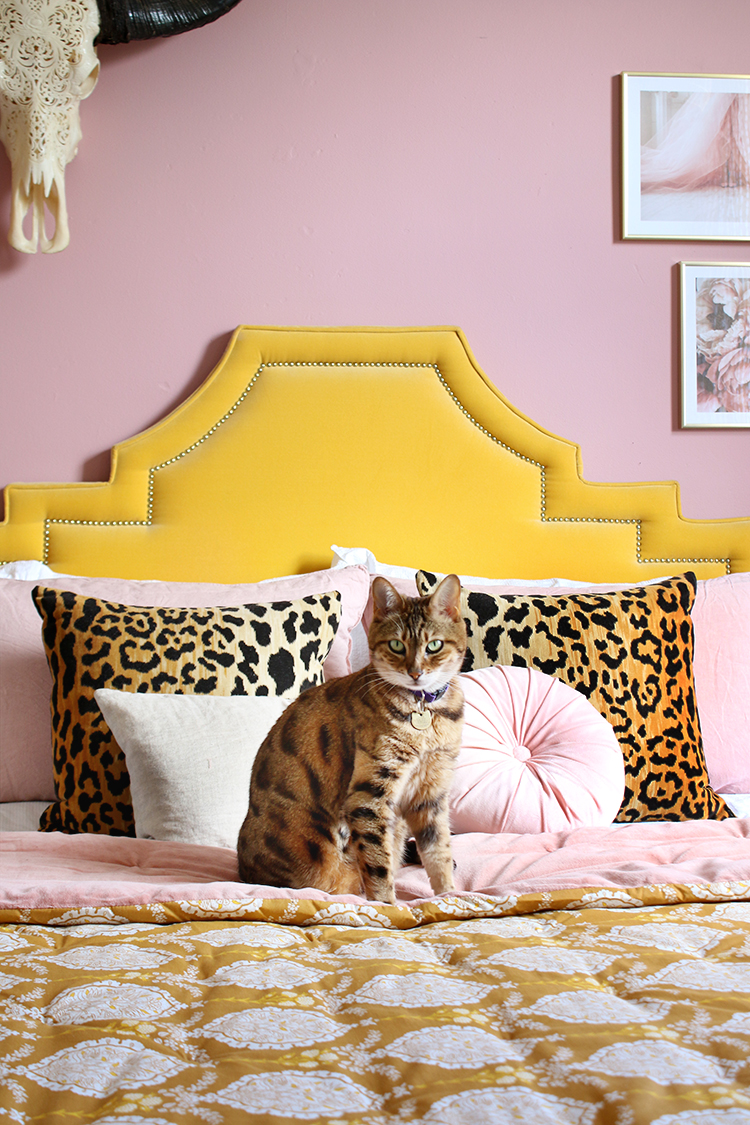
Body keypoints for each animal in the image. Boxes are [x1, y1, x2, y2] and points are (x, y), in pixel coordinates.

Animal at [237, 576, 465, 909]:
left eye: (434, 645)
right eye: (396, 645)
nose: (415, 673)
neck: (425, 717)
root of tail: (242, 869)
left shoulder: (431, 791)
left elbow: (439, 853)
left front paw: (449, 895)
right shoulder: (369, 796)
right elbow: (378, 866)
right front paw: (389, 907)